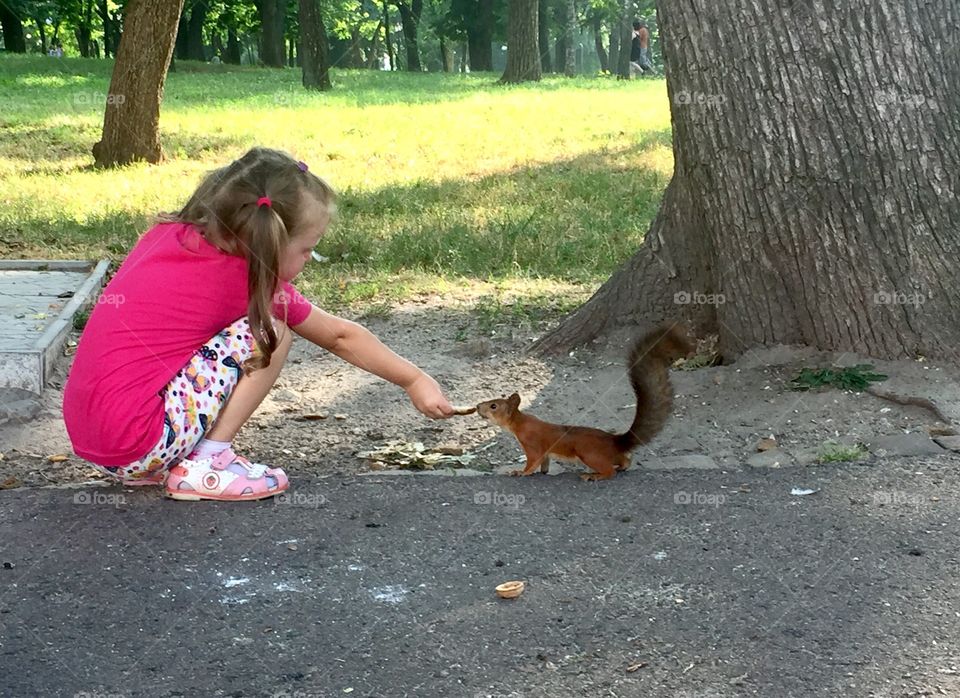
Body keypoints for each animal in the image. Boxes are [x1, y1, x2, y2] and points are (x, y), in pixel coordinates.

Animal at [476, 324, 693, 481]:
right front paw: (543, 472)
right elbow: (544, 462)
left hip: (588, 454)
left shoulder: (532, 445)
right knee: (624, 460)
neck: (519, 423)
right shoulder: (544, 452)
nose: (478, 407)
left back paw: (593, 476)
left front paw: (520, 472)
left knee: (609, 470)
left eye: (494, 406)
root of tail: (615, 442)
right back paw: (622, 465)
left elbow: (532, 461)